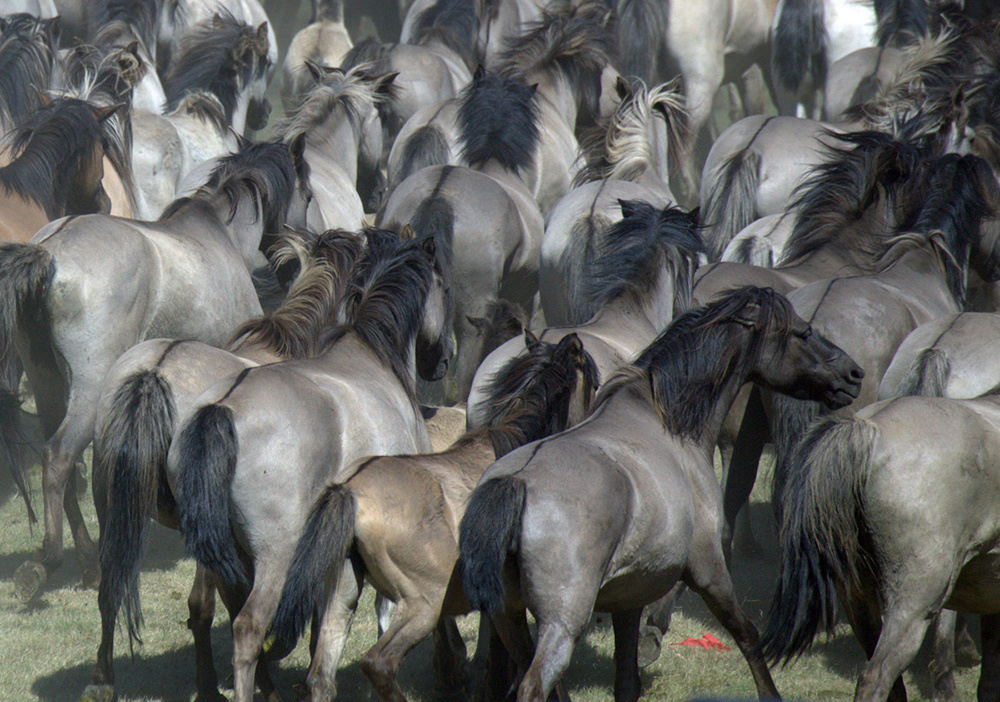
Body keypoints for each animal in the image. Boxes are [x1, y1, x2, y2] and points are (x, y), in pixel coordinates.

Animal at [0, 137, 310, 601]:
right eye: (307, 195)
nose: (295, 266)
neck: (220, 238)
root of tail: (50, 251)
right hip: (88, 391)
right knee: (58, 457)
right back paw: (53, 562)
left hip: (48, 386)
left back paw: (85, 562)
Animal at [169, 228, 451, 702]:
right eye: (444, 286)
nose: (445, 358)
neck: (372, 356)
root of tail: (223, 407)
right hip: (275, 555)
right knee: (248, 628)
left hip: (225, 555)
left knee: (215, 609)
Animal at [266, 330, 599, 702]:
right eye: (592, 384)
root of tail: (350, 490)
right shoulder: (511, 605)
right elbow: (533, 667)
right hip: (422, 606)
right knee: (378, 663)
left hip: (341, 601)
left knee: (321, 679)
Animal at [458, 286, 864, 702]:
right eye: (803, 331)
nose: (852, 374)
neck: (668, 423)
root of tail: (516, 484)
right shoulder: (707, 566)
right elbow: (746, 634)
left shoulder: (629, 594)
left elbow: (626, 680)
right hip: (561, 622)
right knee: (535, 684)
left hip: (508, 617)